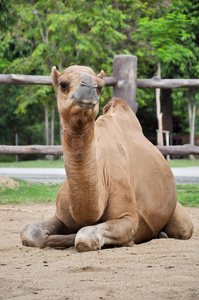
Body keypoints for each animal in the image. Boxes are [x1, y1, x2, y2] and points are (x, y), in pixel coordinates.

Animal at [21, 65, 194, 251]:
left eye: (100, 87)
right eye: (63, 84)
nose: (89, 87)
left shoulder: (128, 217)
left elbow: (84, 236)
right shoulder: (62, 217)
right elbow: (29, 233)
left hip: (178, 216)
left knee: (185, 228)